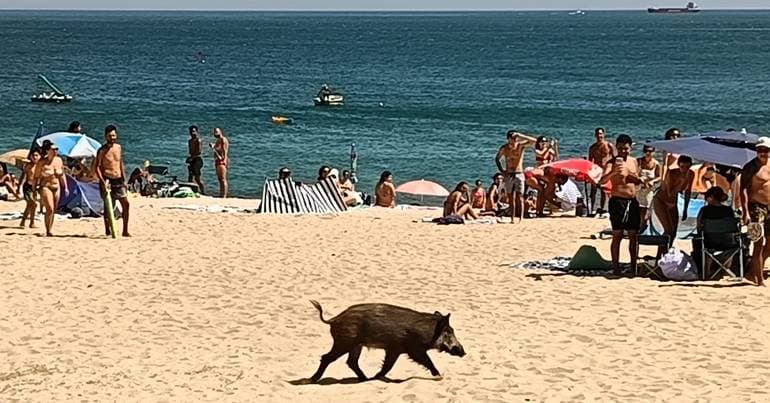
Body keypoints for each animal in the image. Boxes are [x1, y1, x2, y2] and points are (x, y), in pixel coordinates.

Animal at [309, 300, 465, 383]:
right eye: (448, 331)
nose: (463, 352)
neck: (429, 331)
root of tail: (333, 319)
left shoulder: (394, 350)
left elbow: (388, 366)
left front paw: (377, 377)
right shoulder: (413, 349)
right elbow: (427, 361)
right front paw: (440, 377)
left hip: (356, 346)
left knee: (351, 362)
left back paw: (366, 379)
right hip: (344, 342)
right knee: (327, 357)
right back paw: (313, 379)